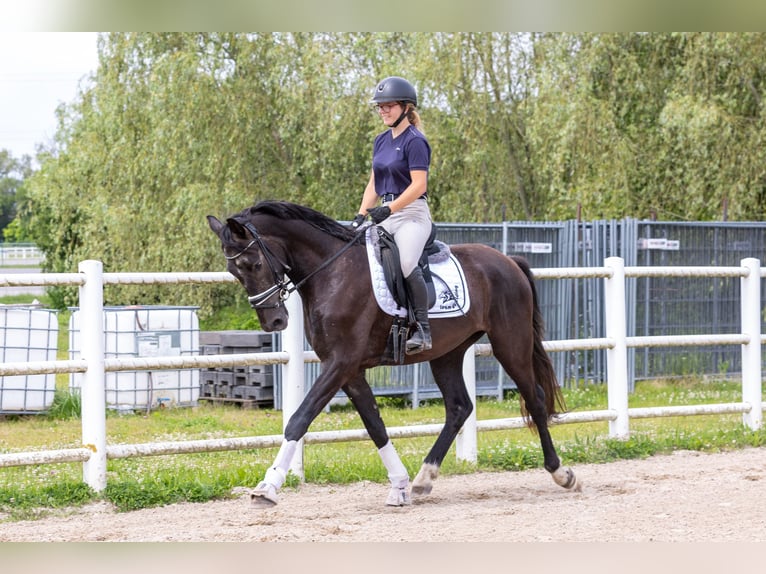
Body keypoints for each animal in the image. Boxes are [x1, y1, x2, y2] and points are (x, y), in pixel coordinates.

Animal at [210, 201, 584, 508]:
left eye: (253, 263)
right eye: (234, 271)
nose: (274, 321)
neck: (333, 271)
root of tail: (509, 261)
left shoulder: (340, 363)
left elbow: (299, 419)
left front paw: (267, 487)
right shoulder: (350, 370)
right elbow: (375, 426)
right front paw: (400, 486)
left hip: (510, 343)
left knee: (534, 398)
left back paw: (561, 473)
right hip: (448, 353)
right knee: (459, 408)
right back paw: (423, 480)